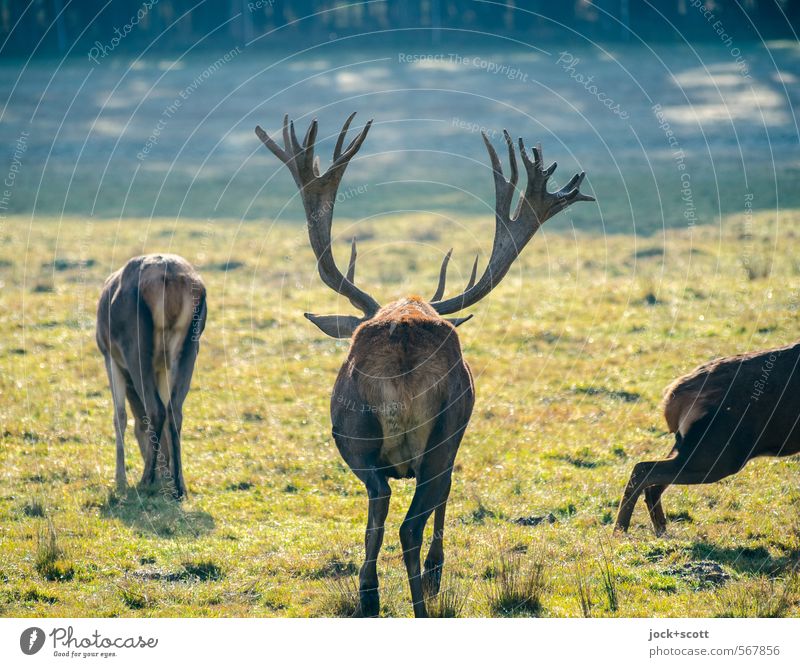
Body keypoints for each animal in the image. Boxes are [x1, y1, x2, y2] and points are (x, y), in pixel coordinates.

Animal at [95, 253, 208, 498]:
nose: (161, 474)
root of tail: (170, 277)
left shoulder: (109, 356)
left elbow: (120, 416)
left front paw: (120, 480)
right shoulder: (161, 367)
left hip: (135, 347)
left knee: (155, 409)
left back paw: (145, 480)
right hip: (190, 347)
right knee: (174, 410)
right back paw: (180, 486)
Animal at [256, 112, 592, 620]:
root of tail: (401, 343)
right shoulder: (453, 444)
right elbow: (445, 501)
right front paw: (436, 574)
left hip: (356, 433)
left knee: (379, 502)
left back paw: (369, 594)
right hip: (443, 433)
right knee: (410, 520)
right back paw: (420, 600)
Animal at [616, 344, 800, 536]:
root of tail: (671, 397)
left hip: (691, 446)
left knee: (652, 481)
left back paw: (659, 529)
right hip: (719, 454)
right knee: (643, 469)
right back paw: (620, 531)